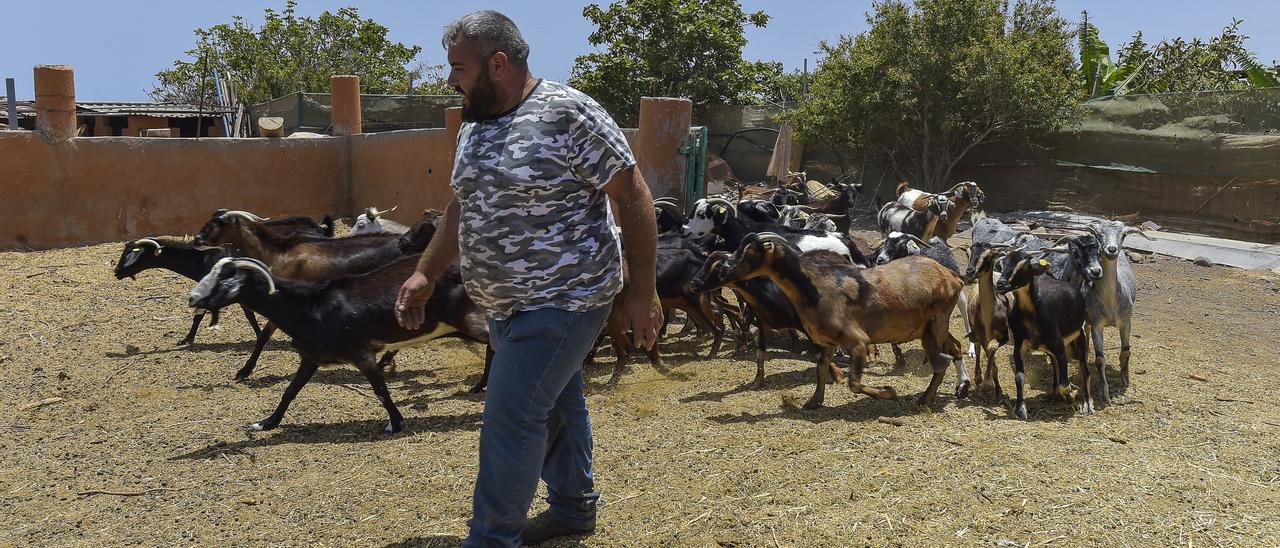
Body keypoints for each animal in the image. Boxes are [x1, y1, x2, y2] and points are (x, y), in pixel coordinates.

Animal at [186, 256, 486, 432]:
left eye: (223, 279)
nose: (192, 298)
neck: (311, 307)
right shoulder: (311, 357)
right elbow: (290, 391)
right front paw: (266, 422)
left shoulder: (362, 353)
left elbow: (380, 390)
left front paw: (395, 423)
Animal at [711, 233, 962, 409]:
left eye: (749, 253)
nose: (723, 271)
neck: (816, 287)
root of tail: (952, 277)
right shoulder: (827, 342)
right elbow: (821, 369)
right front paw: (813, 402)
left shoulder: (858, 341)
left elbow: (854, 383)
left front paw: (888, 392)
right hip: (929, 328)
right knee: (955, 348)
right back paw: (956, 390)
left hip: (938, 323)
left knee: (945, 358)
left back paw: (927, 399)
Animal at [993, 245, 1095, 417]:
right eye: (1002, 265)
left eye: (1025, 266)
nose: (1000, 284)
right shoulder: (1019, 345)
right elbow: (1019, 376)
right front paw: (1020, 408)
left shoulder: (1059, 346)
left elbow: (1065, 384)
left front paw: (1070, 397)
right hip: (1050, 349)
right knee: (1055, 367)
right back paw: (1054, 395)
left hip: (1078, 337)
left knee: (1085, 369)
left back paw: (1087, 404)